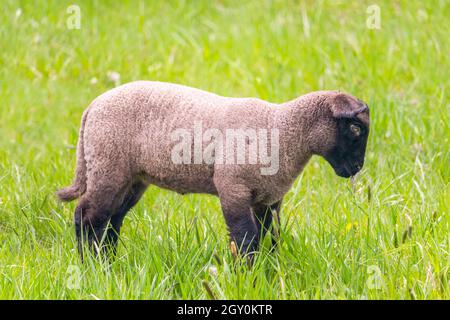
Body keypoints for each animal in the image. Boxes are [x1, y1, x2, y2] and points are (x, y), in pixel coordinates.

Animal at [58, 80, 370, 260]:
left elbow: (270, 238)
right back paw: (92, 264)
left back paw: (110, 261)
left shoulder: (268, 198)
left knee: (112, 219)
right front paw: (248, 275)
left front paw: (268, 271)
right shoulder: (233, 188)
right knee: (88, 215)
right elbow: (246, 238)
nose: (356, 168)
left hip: (131, 177)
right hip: (107, 165)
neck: (282, 130)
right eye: (355, 129)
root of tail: (93, 107)